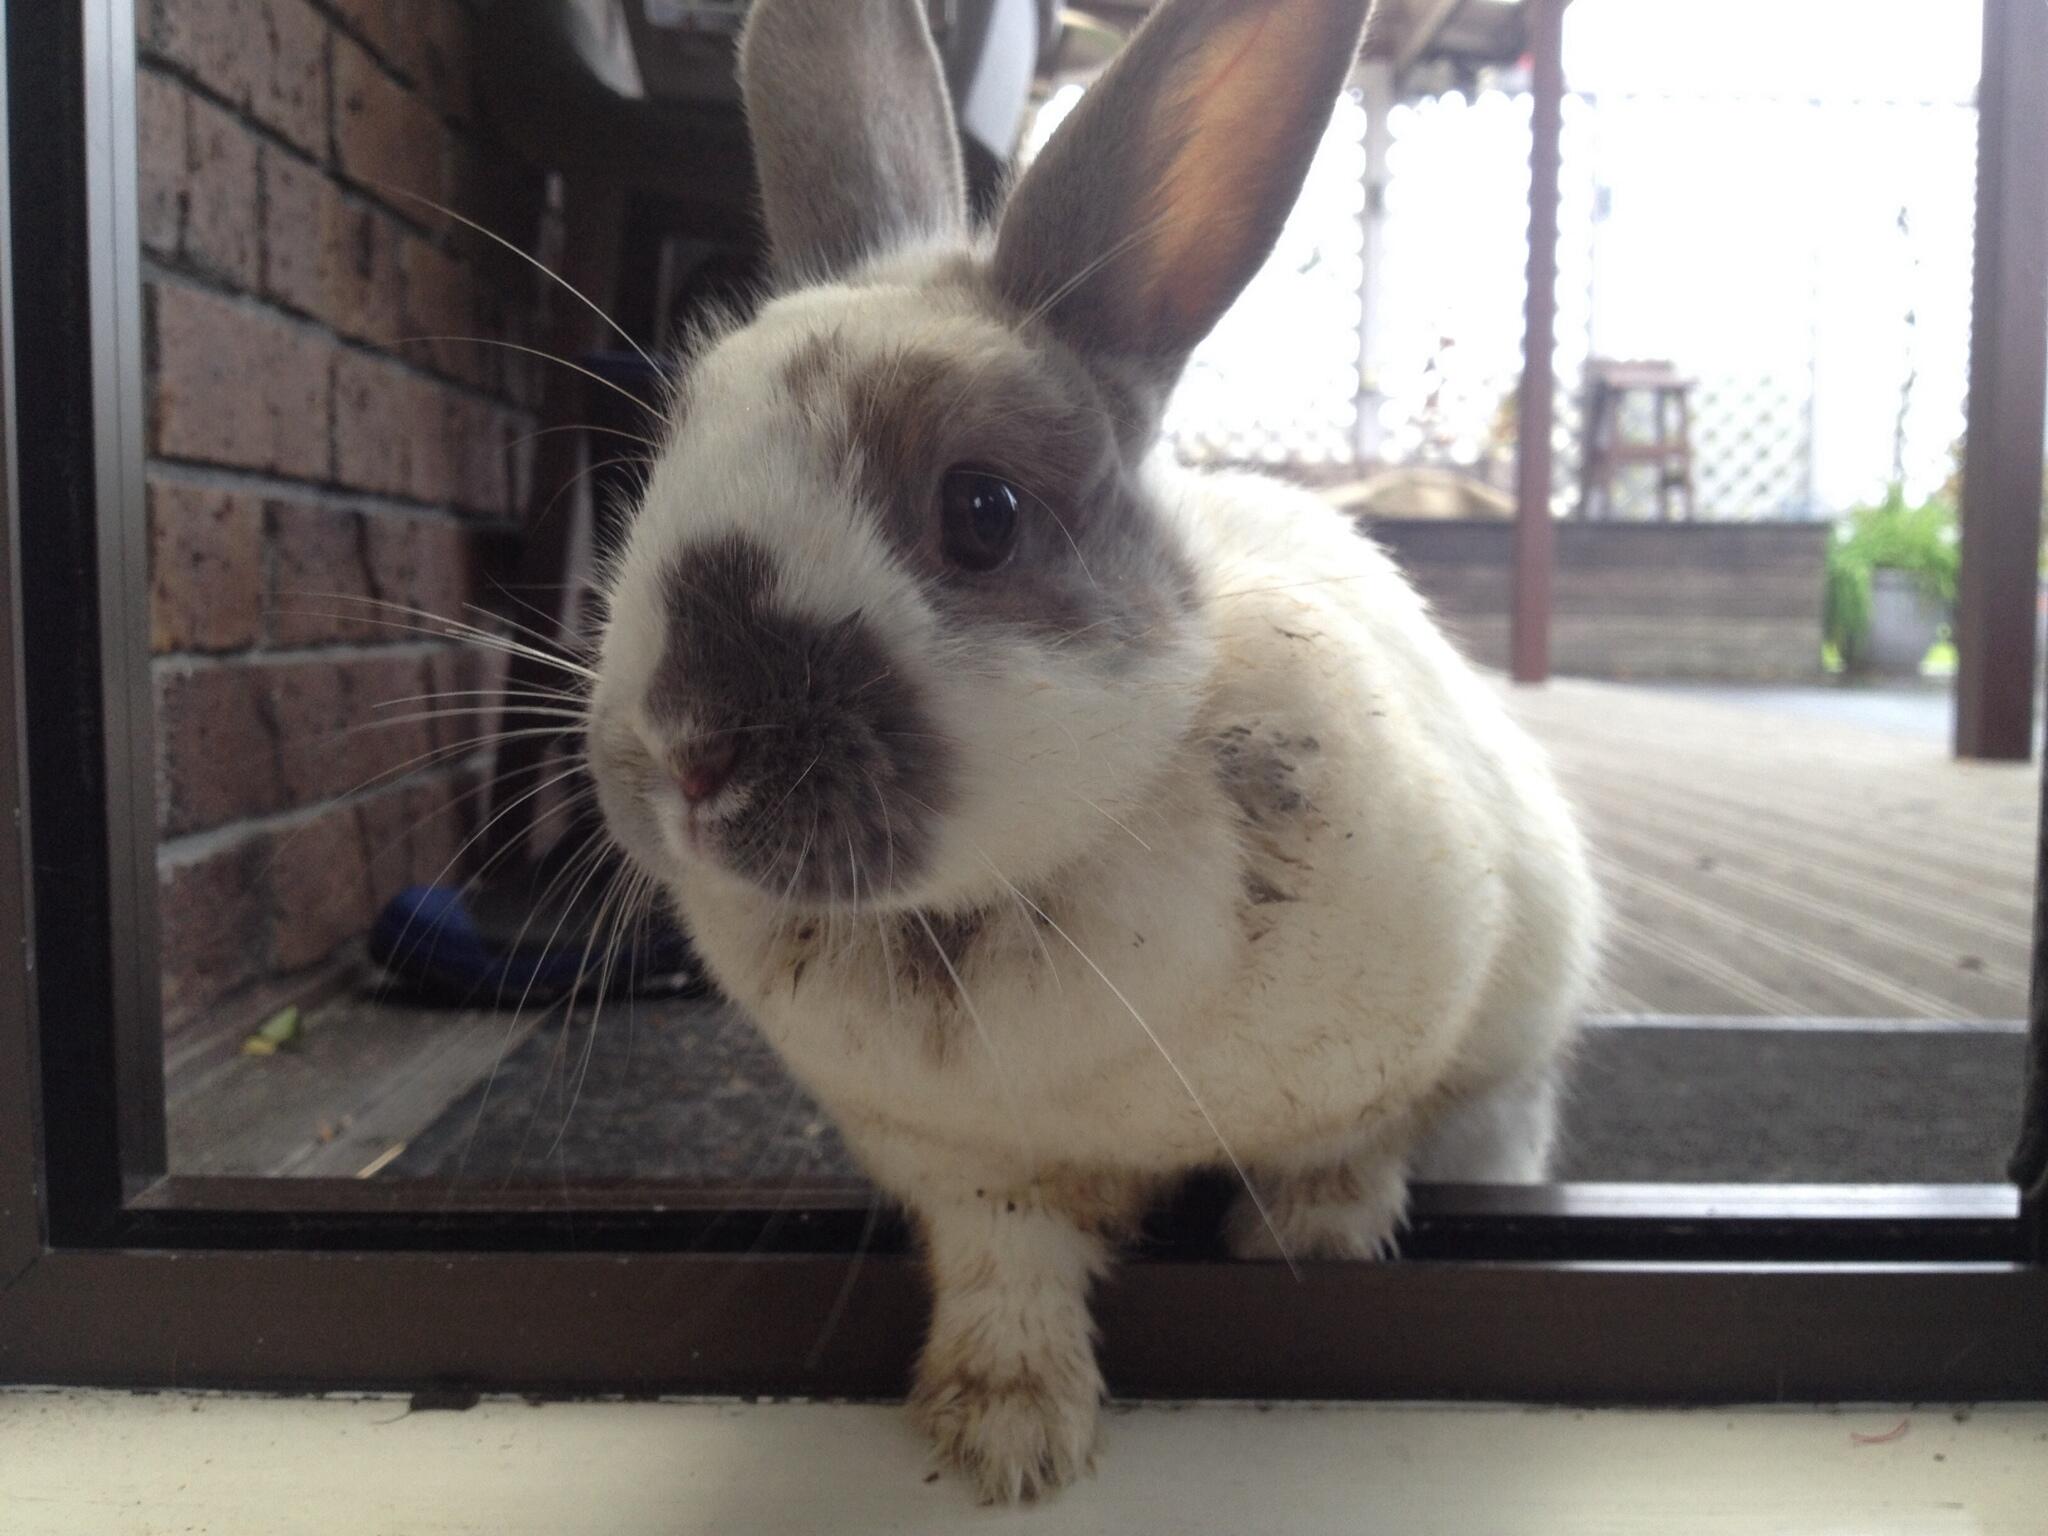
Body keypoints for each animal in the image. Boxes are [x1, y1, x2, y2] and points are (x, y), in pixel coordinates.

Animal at [586, 0, 1599, 1504]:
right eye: (666, 464)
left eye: (983, 512)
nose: (685, 752)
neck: (998, 892)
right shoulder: (962, 1164)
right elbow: (1007, 1269)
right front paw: (1007, 1438)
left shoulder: (1430, 1020)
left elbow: (1356, 1141)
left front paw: (1314, 1235)